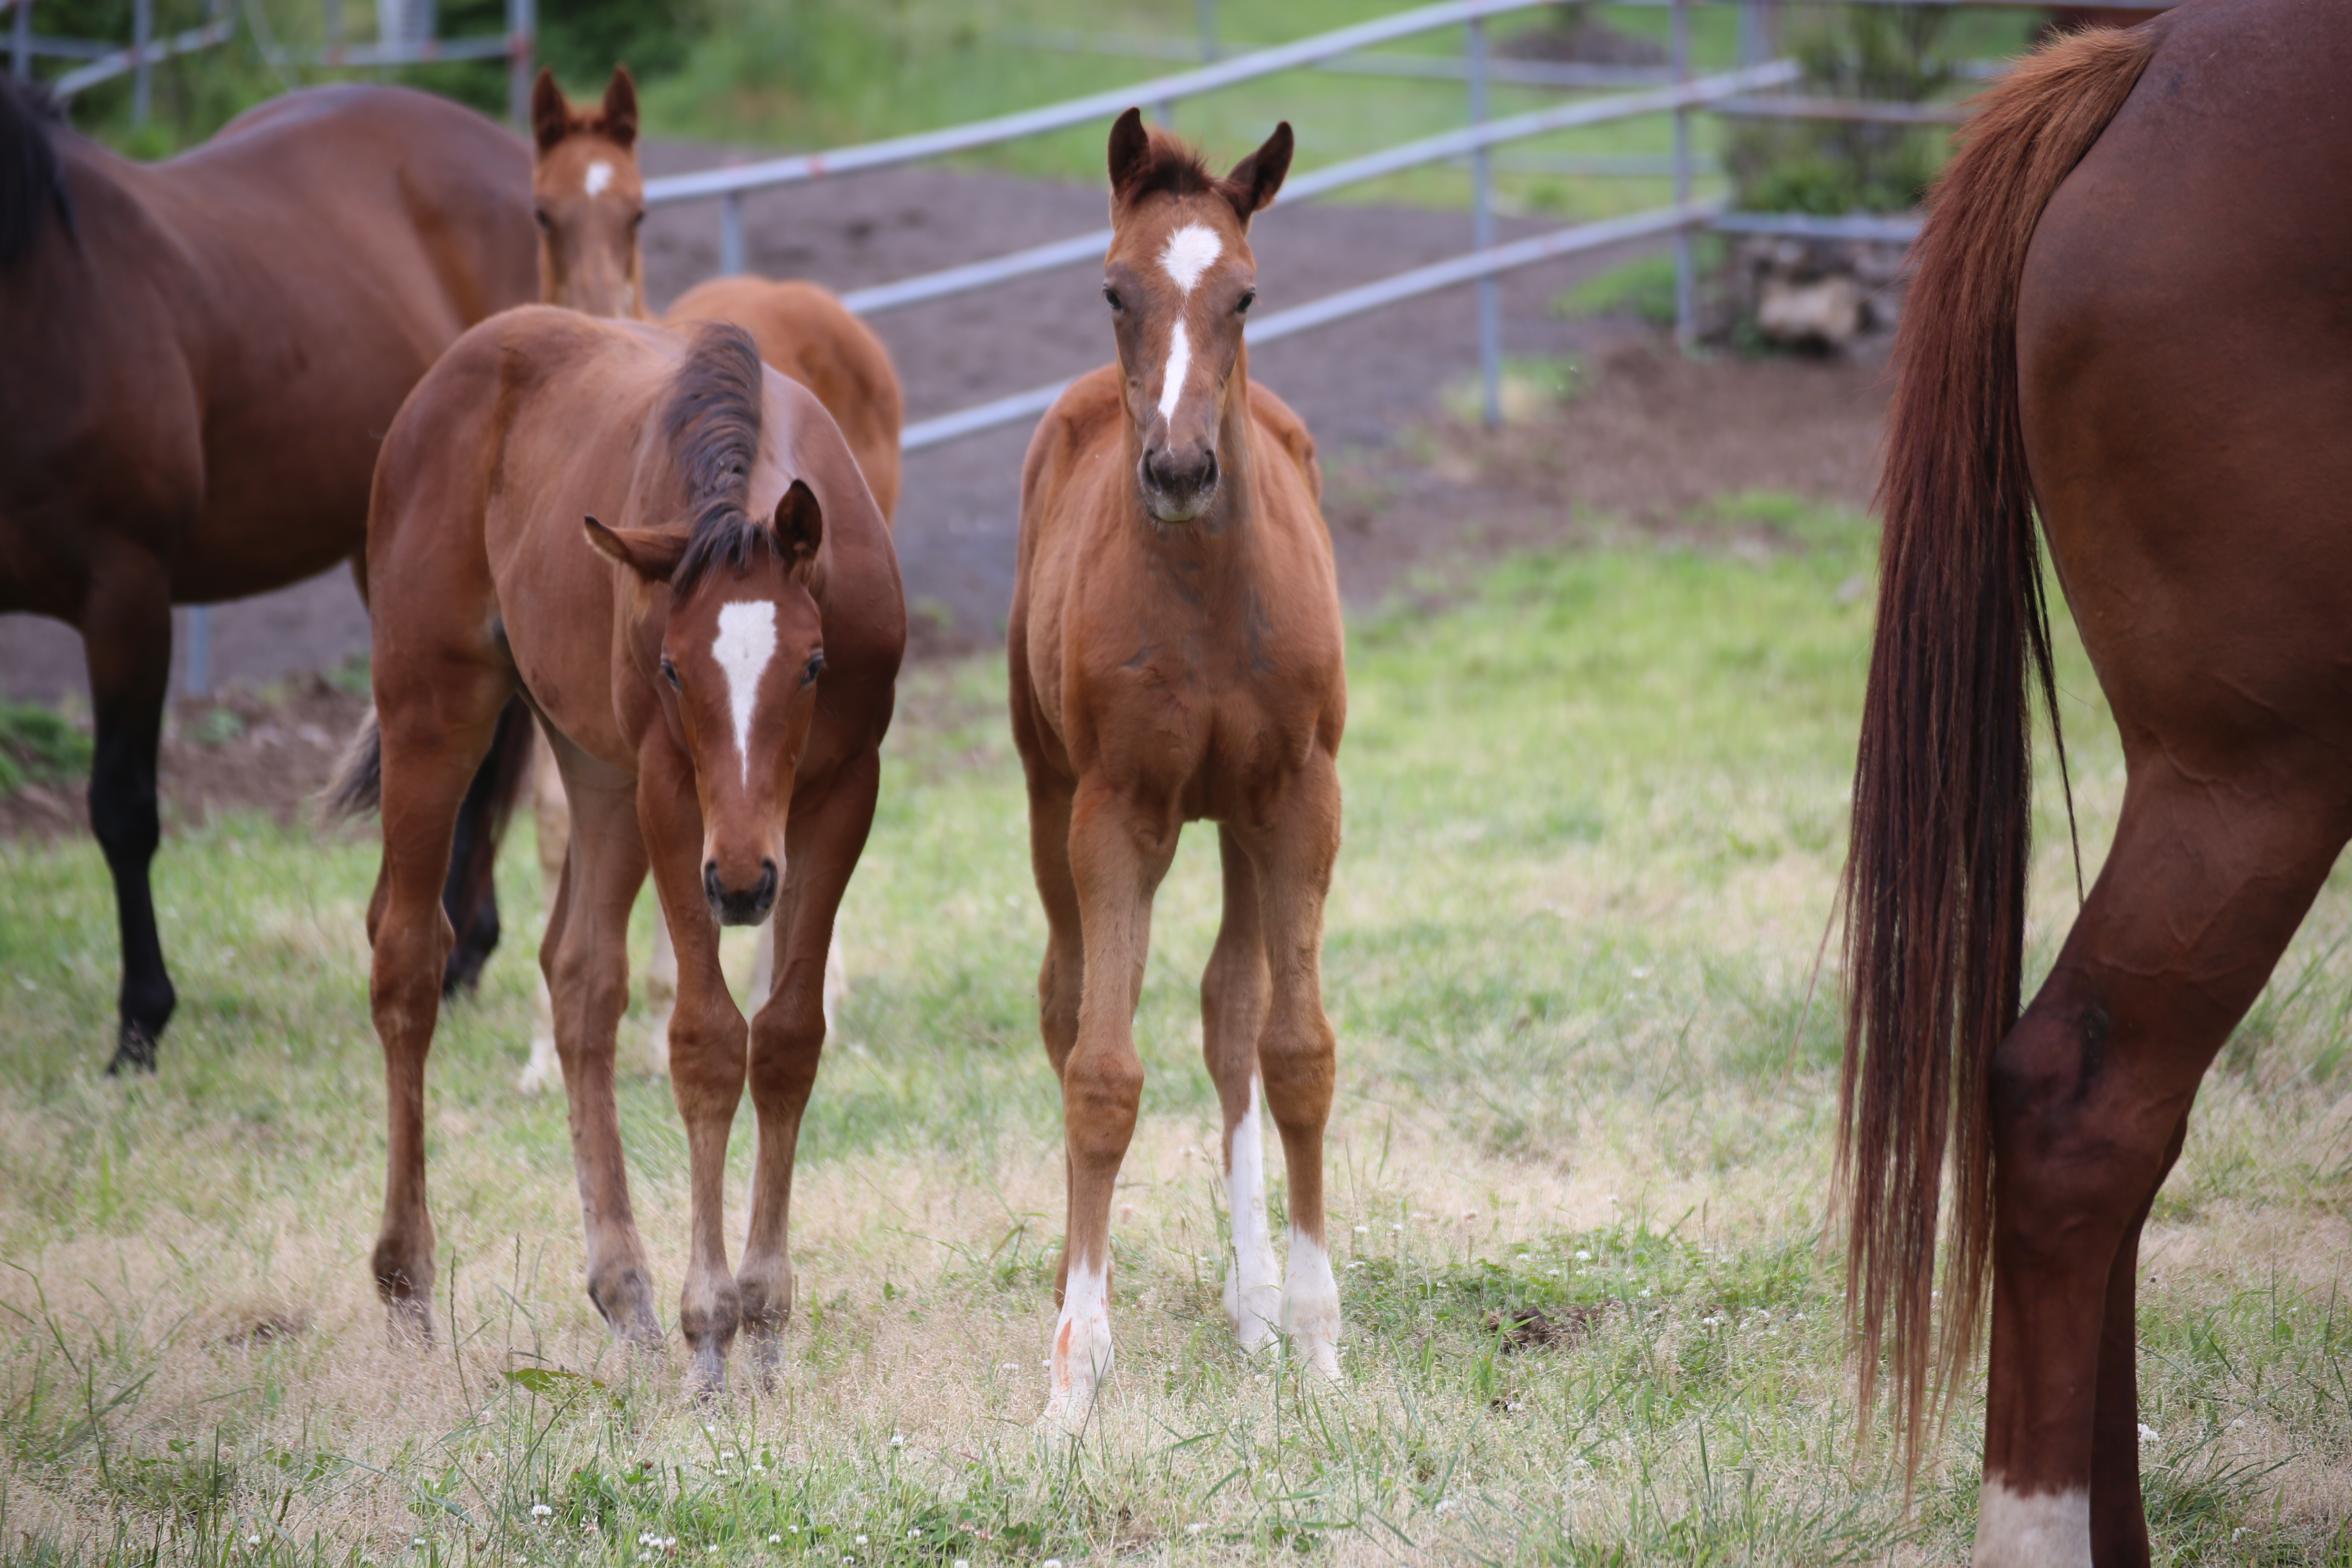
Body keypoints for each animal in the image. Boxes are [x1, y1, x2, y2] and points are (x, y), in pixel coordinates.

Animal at [336, 312, 903, 1392]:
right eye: (675, 668)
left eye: (813, 664)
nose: (742, 883)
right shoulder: (671, 792)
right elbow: (708, 1041)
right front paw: (713, 1331)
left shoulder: (846, 791)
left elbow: (788, 1037)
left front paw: (766, 1323)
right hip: (437, 704)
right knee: (407, 956)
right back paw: (407, 1285)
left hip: (592, 766)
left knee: (580, 974)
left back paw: (623, 1289)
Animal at [1007, 113, 1345, 1439]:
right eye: (1115, 289)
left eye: (1245, 294)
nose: (1182, 470)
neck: (1204, 593)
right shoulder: (1118, 812)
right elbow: (1100, 1072)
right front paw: (1072, 1373)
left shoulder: (1298, 797)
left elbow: (1295, 1051)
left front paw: (1314, 1339)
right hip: (1051, 791)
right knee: (1065, 1009)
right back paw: (1076, 1292)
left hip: (1244, 819)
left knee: (1230, 1011)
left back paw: (1253, 1306)